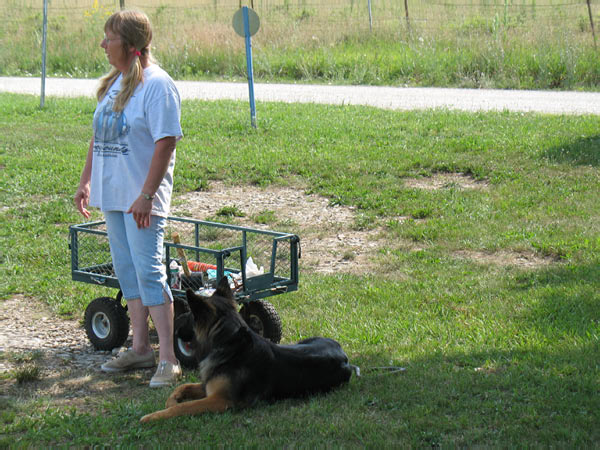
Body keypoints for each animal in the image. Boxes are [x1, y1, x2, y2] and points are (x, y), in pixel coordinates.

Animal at [141, 276, 356, 424]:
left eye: (189, 316)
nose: (174, 331)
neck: (229, 343)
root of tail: (345, 358)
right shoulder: (209, 386)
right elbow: (182, 387)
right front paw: (171, 401)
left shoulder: (220, 400)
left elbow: (184, 407)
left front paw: (154, 415)